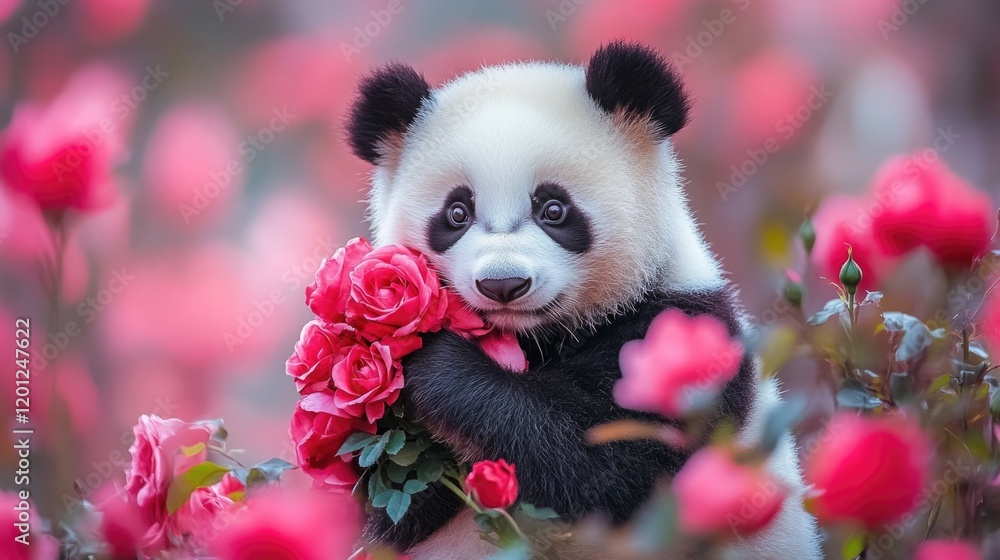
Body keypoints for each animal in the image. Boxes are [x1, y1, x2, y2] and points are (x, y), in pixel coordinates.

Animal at [346, 42, 822, 559]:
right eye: (457, 212)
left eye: (553, 209)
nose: (503, 284)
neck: (538, 339)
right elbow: (398, 501)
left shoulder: (684, 331)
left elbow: (606, 469)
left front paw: (435, 363)